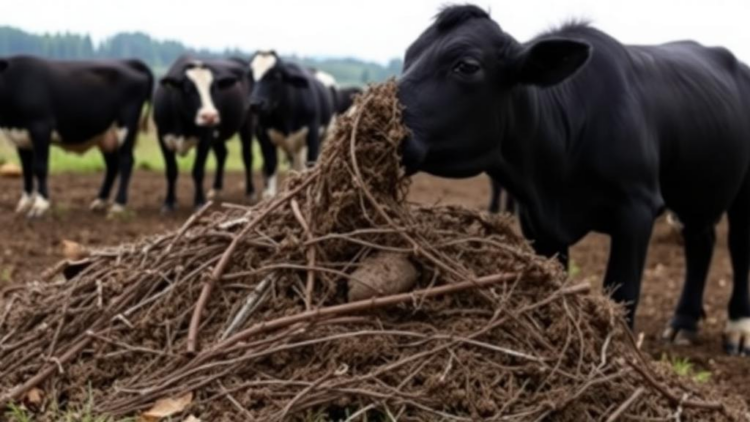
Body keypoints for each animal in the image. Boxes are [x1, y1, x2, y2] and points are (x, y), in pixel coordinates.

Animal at [0, 56, 153, 217]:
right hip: (106, 136)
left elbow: (39, 167)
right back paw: (101, 201)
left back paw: (118, 204)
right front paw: (25, 203)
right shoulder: (20, 137)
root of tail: (129, 61)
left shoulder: (41, 128)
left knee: (126, 161)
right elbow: (26, 170)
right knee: (112, 165)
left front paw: (40, 205)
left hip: (127, 125)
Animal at [154, 56, 255, 211]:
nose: (210, 116)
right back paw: (216, 189)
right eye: (188, 88)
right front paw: (169, 202)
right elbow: (171, 171)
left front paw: (199, 202)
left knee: (247, 157)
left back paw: (250, 192)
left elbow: (198, 171)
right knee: (222, 154)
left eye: (213, 88)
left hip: (247, 125)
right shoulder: (163, 138)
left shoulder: (205, 139)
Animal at [248, 51, 335, 198]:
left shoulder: (312, 136)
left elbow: (311, 164)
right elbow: (271, 165)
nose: (255, 104)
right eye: (249, 76)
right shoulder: (264, 137)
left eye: (276, 76)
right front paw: (270, 196)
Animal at [398, 5, 750, 355]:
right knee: (701, 243)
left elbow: (622, 291)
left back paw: (738, 329)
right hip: (697, 190)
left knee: (736, 246)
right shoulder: (538, 222)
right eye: (408, 56)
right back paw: (684, 322)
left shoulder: (636, 209)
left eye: (467, 66)